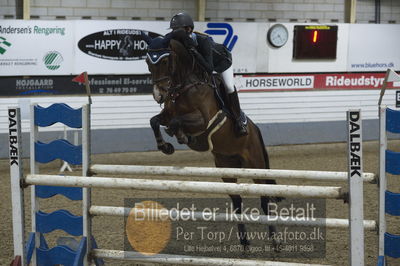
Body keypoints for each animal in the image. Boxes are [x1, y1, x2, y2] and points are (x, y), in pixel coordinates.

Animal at [145, 37, 280, 247]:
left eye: (165, 61)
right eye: (148, 62)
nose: (158, 95)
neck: (184, 85)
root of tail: (255, 130)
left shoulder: (203, 120)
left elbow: (177, 123)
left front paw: (183, 137)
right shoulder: (167, 113)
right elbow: (155, 121)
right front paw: (165, 146)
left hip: (255, 165)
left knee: (264, 198)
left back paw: (275, 242)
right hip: (226, 166)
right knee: (237, 200)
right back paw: (244, 241)